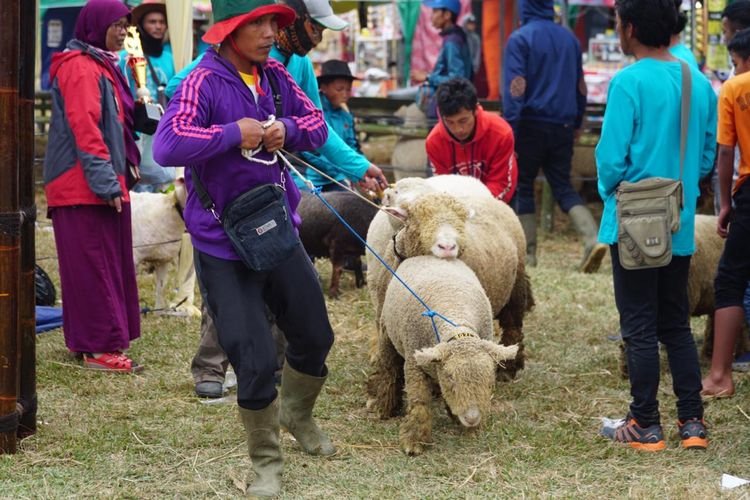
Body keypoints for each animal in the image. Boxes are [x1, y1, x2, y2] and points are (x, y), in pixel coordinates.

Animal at [368, 256, 520, 456]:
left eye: (490, 379)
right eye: (450, 377)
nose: (472, 418)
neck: (455, 316)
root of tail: (423, 256)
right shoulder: (414, 363)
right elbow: (419, 400)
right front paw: (415, 440)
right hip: (387, 333)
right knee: (389, 371)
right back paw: (384, 407)